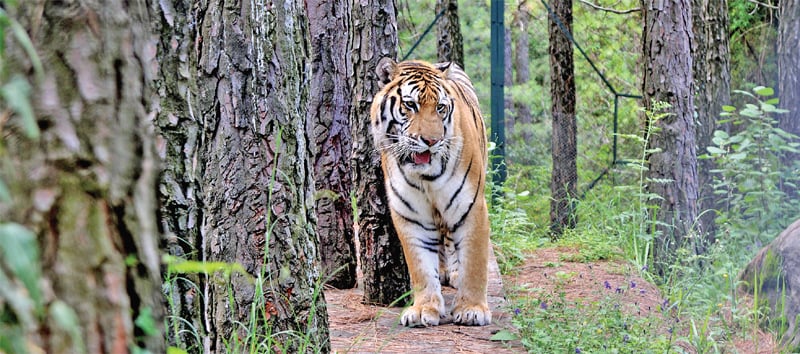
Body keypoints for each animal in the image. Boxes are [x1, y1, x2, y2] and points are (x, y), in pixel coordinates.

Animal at [370, 58, 494, 326]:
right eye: (410, 105)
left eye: (440, 108)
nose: (431, 141)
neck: (425, 176)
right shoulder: (411, 214)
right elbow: (421, 267)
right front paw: (424, 309)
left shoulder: (471, 206)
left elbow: (475, 262)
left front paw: (472, 309)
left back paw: (454, 273)